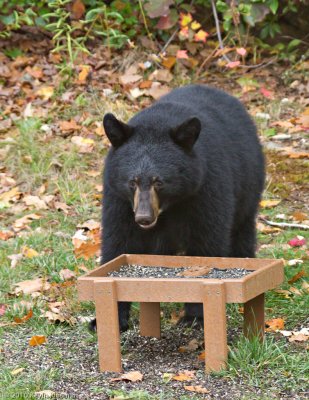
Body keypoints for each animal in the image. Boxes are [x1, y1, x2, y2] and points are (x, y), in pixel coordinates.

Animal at [95, 84, 264, 332]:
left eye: (159, 182)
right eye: (132, 181)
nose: (144, 218)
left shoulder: (206, 190)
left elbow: (206, 245)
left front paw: (195, 316)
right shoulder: (119, 200)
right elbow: (117, 243)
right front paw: (108, 319)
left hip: (248, 187)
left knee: (242, 230)